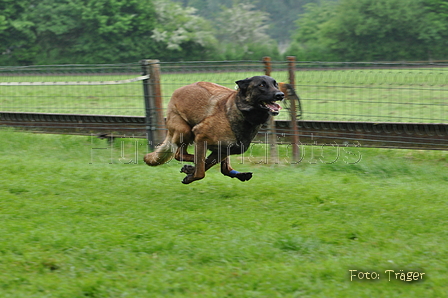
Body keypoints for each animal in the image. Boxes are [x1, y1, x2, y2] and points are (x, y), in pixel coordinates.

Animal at [144, 75, 284, 183]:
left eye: (275, 84)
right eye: (261, 85)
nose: (280, 95)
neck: (241, 111)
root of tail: (176, 92)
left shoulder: (222, 151)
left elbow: (207, 165)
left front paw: (190, 171)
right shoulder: (201, 137)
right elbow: (201, 171)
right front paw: (191, 174)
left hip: (224, 148)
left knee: (224, 168)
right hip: (185, 130)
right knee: (180, 154)